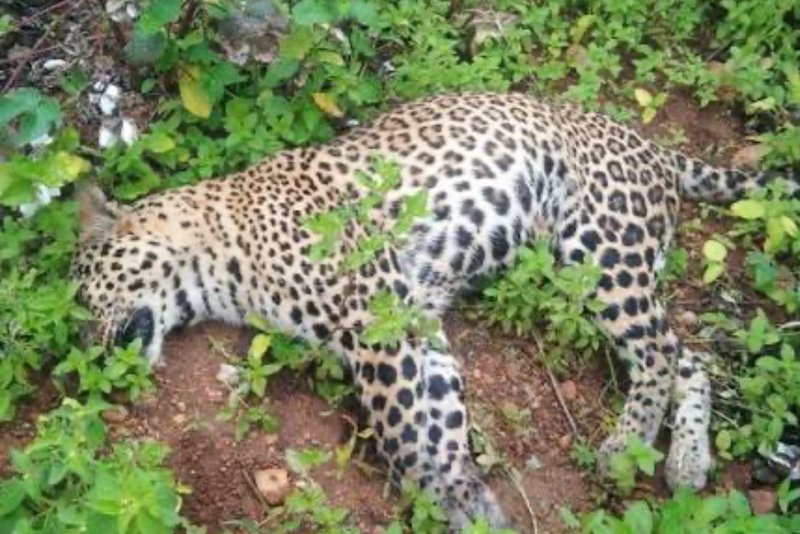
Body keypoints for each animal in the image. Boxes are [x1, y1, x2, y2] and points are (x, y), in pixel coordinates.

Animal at [70, 92, 797, 530]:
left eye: (81, 296)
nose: (91, 353)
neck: (214, 257)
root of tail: (652, 147)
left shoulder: (374, 327)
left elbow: (402, 436)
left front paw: (449, 502)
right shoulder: (414, 328)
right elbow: (438, 434)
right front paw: (469, 506)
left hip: (600, 246)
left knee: (658, 354)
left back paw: (626, 446)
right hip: (583, 271)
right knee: (689, 356)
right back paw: (686, 462)